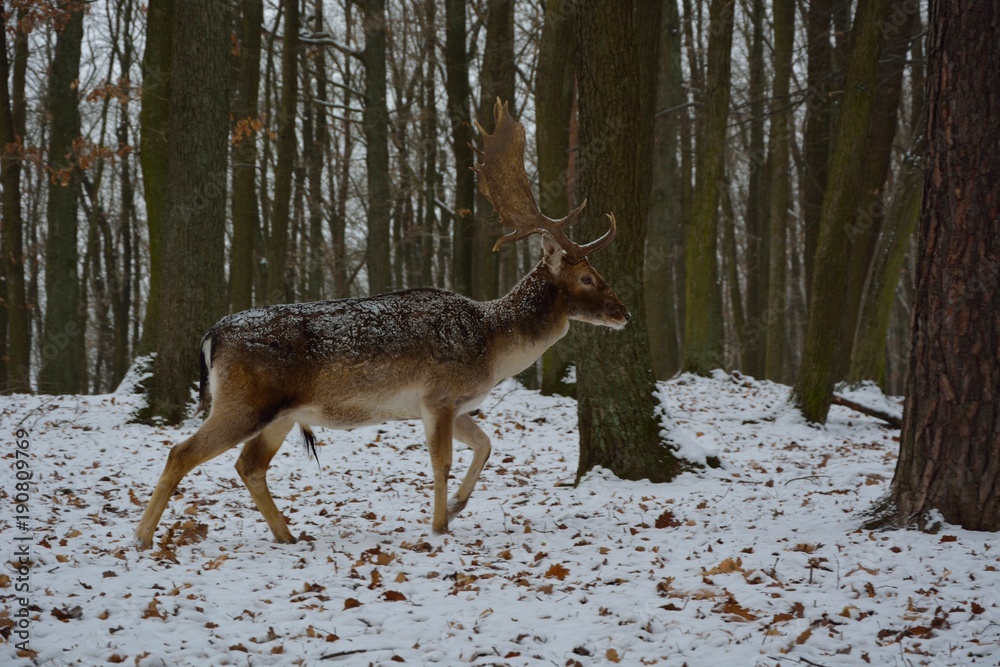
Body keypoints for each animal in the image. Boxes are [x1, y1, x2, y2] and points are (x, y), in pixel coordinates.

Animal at [134, 100, 629, 549]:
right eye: (587, 277)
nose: (624, 313)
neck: (492, 346)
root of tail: (212, 335)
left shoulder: (453, 404)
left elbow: (486, 444)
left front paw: (456, 508)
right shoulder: (438, 396)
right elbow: (441, 462)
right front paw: (439, 527)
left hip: (280, 414)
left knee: (248, 465)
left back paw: (288, 535)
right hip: (243, 402)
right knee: (182, 451)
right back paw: (142, 537)